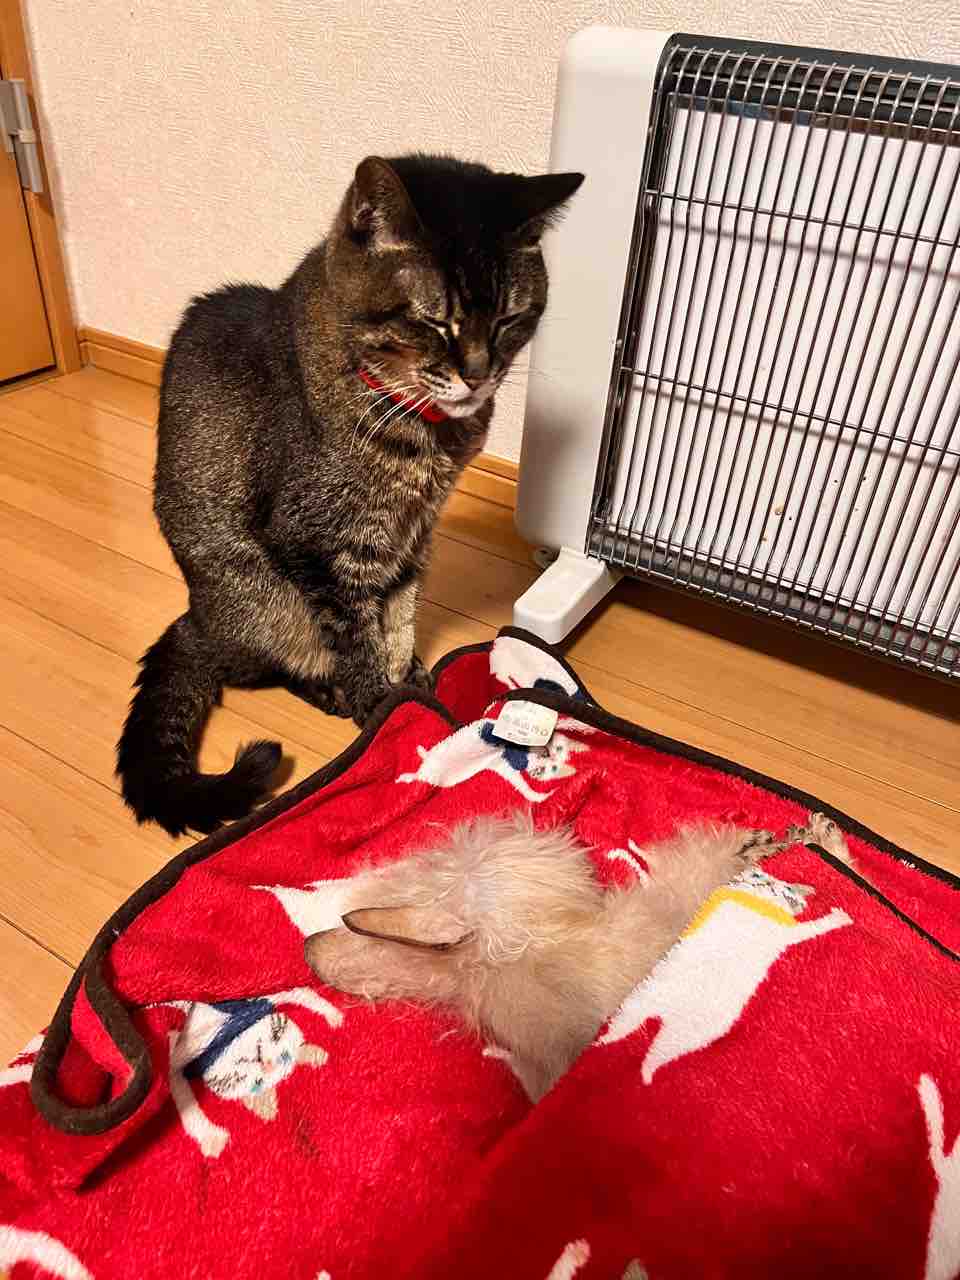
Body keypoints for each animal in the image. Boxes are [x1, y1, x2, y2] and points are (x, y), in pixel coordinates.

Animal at [116, 154, 583, 835]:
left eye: (508, 320)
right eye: (434, 322)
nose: (477, 374)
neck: (426, 432)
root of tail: (194, 618)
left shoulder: (414, 534)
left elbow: (401, 617)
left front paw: (411, 678)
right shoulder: (321, 545)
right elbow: (360, 638)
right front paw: (383, 711)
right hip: (262, 593)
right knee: (270, 662)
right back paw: (322, 686)